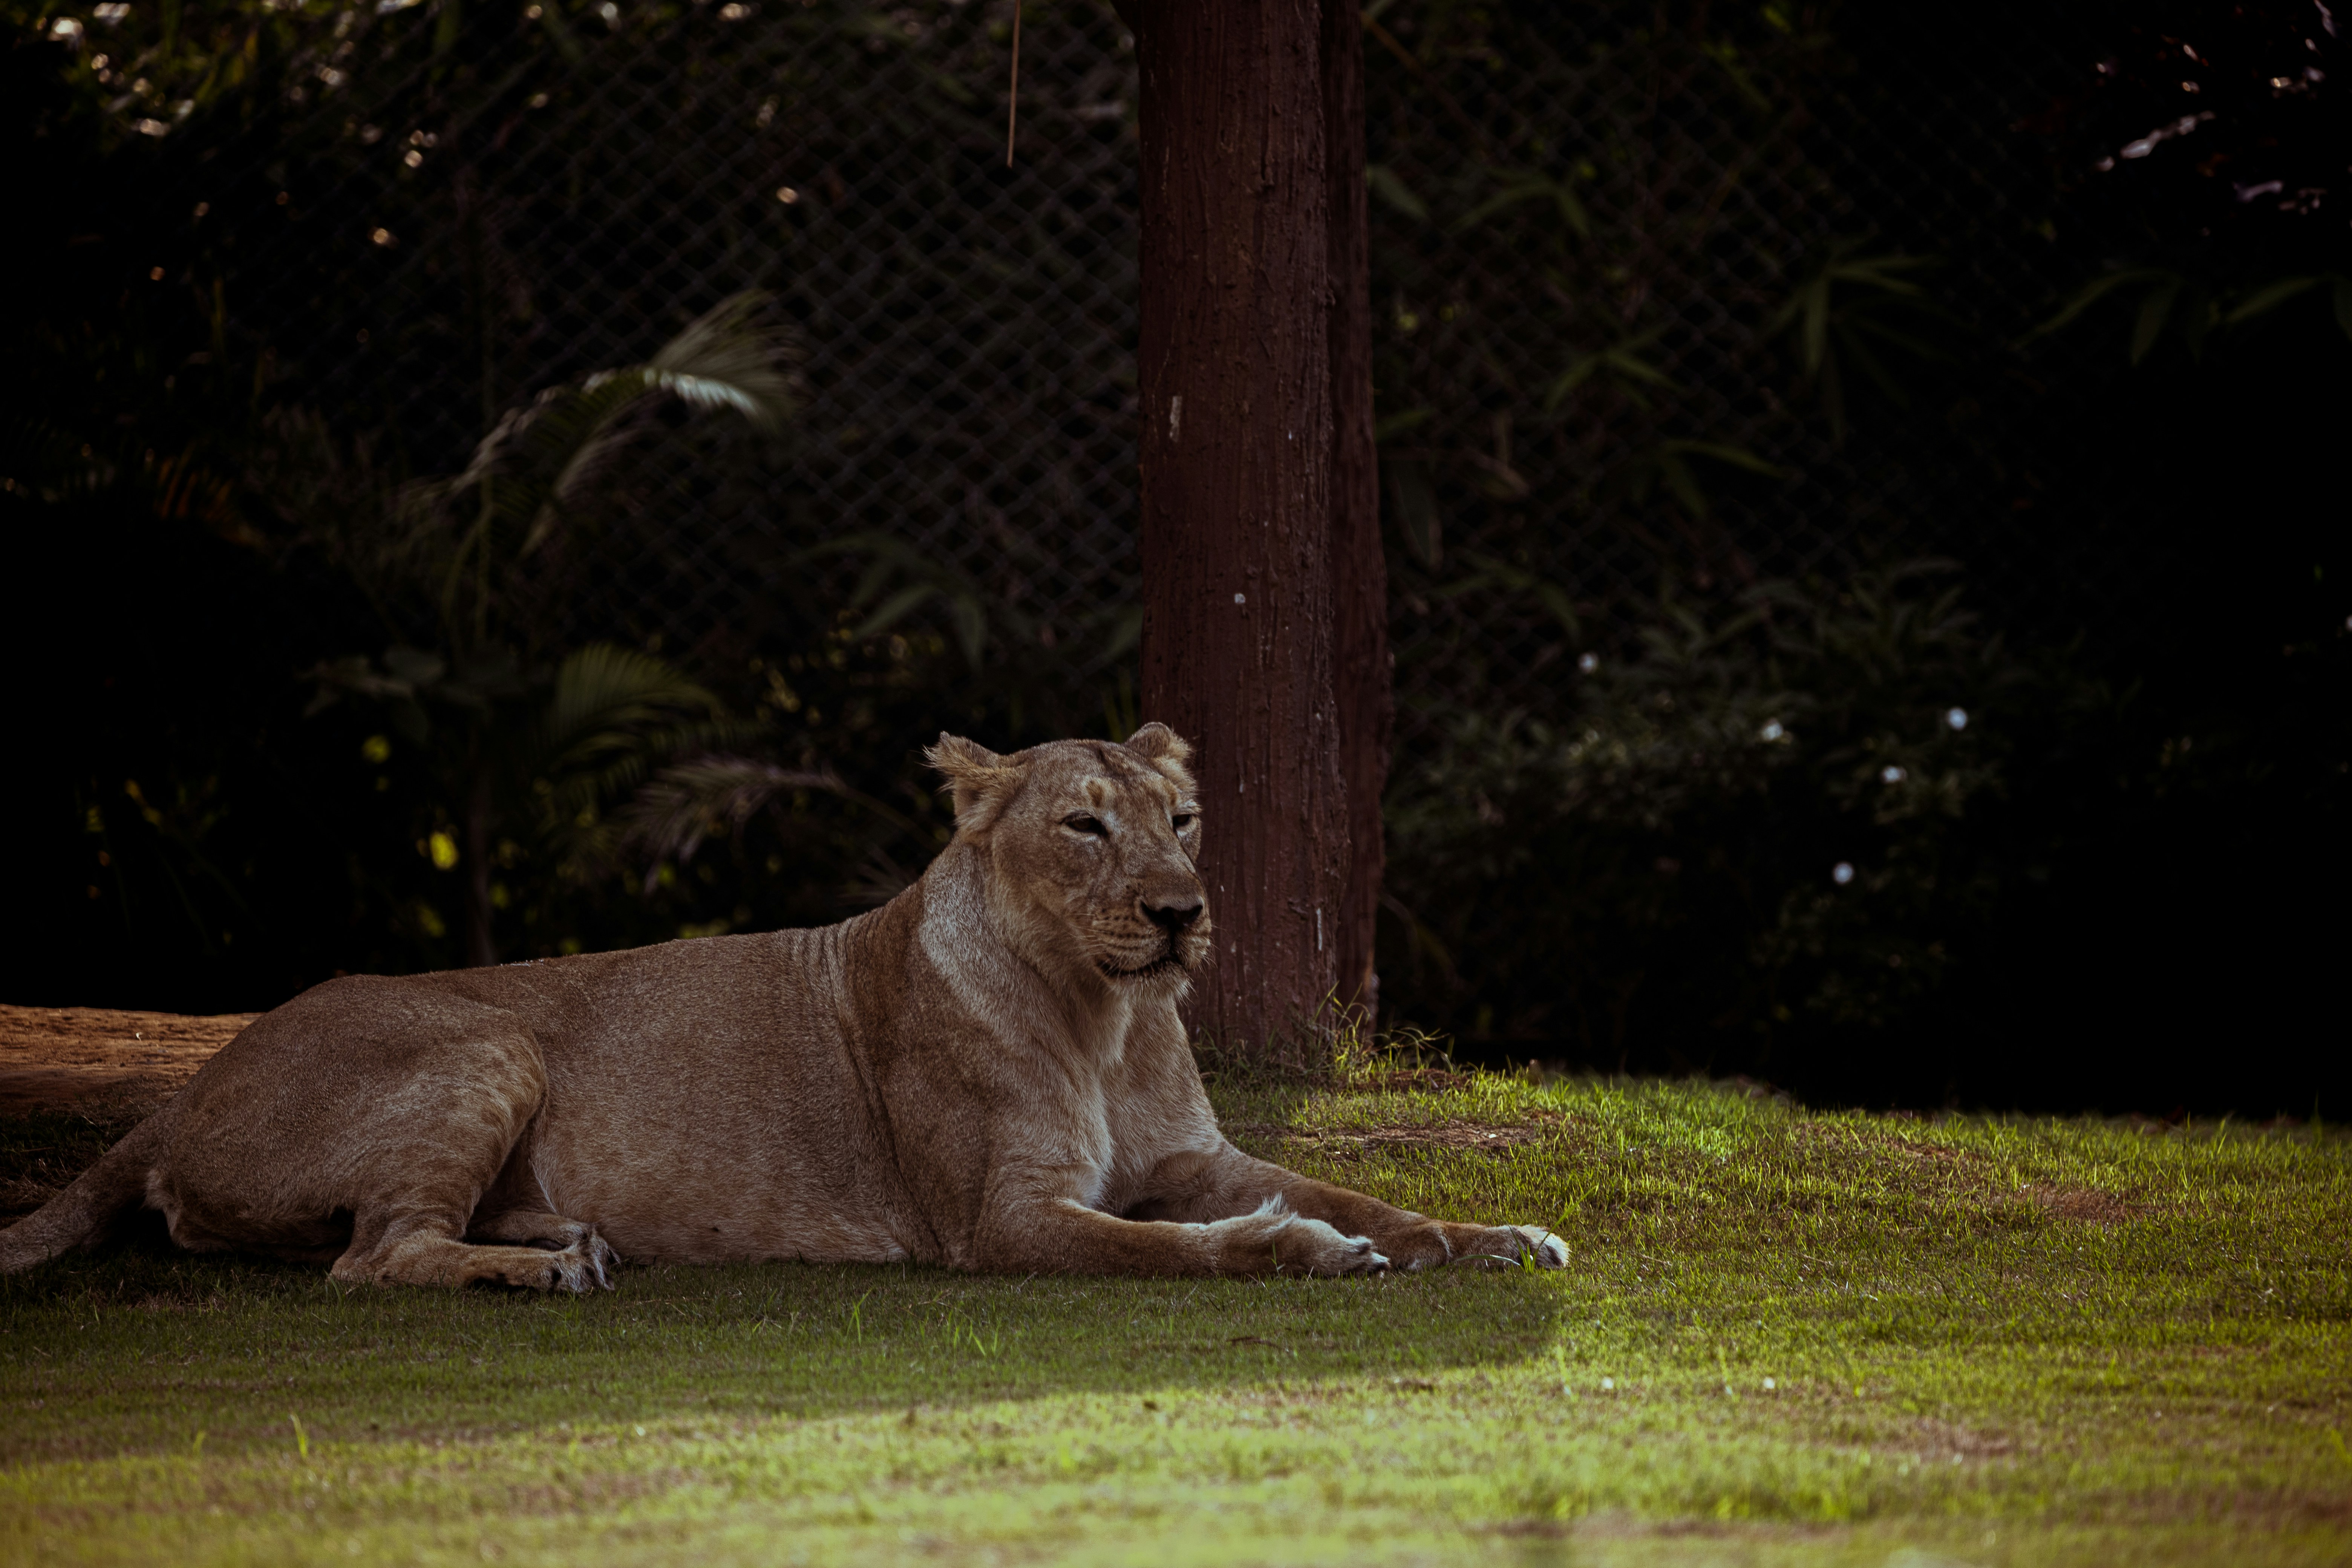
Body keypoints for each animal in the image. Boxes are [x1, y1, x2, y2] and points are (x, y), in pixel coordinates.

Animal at [0, 724, 1565, 1289]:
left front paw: (1487, 1237)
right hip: (487, 1037)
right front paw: (1305, 1252)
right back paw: (542, 1269)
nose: (1182, 912)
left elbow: (1361, 1190)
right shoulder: (1001, 1224)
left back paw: (559, 1232)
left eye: (1180, 819)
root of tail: (182, 1094)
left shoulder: (1195, 1156)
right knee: (370, 1259)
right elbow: (1188, 1248)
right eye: (1085, 827)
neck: (1109, 1020)